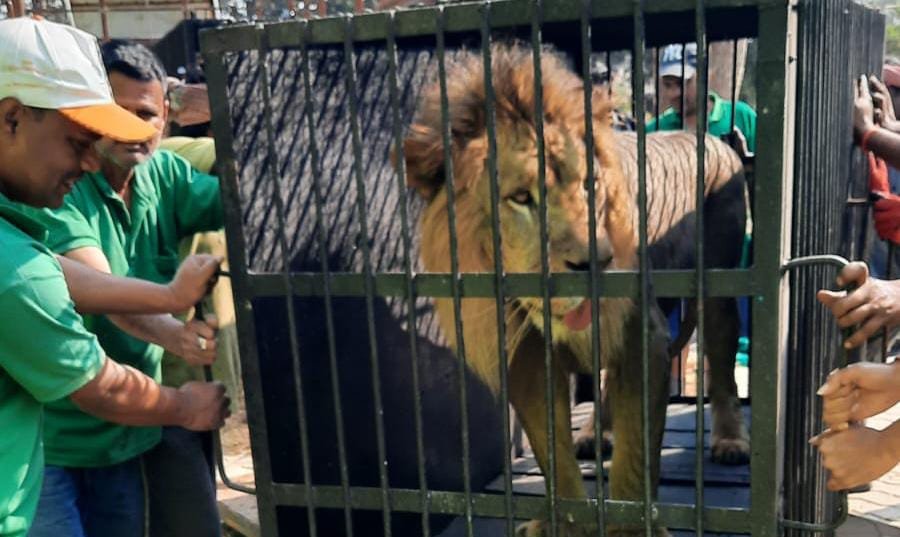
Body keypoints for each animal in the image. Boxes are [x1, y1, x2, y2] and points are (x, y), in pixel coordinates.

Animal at [403, 43, 749, 536]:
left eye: (591, 186)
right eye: (521, 198)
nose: (597, 263)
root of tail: (711, 140)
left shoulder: (642, 334)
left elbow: (636, 459)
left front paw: (630, 529)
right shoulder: (528, 357)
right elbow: (554, 458)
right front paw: (563, 522)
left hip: (718, 286)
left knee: (720, 365)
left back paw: (730, 440)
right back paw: (594, 433)